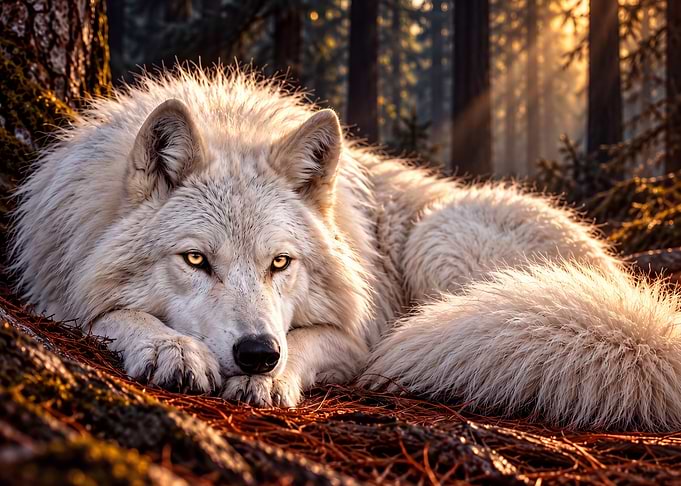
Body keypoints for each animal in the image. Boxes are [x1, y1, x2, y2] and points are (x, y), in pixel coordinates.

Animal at [10, 68, 681, 431]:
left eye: (280, 263)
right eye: (196, 260)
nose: (257, 353)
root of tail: (638, 310)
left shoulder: (356, 335)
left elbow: (313, 343)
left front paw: (272, 382)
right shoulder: (55, 281)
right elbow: (106, 312)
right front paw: (169, 346)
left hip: (439, 236)